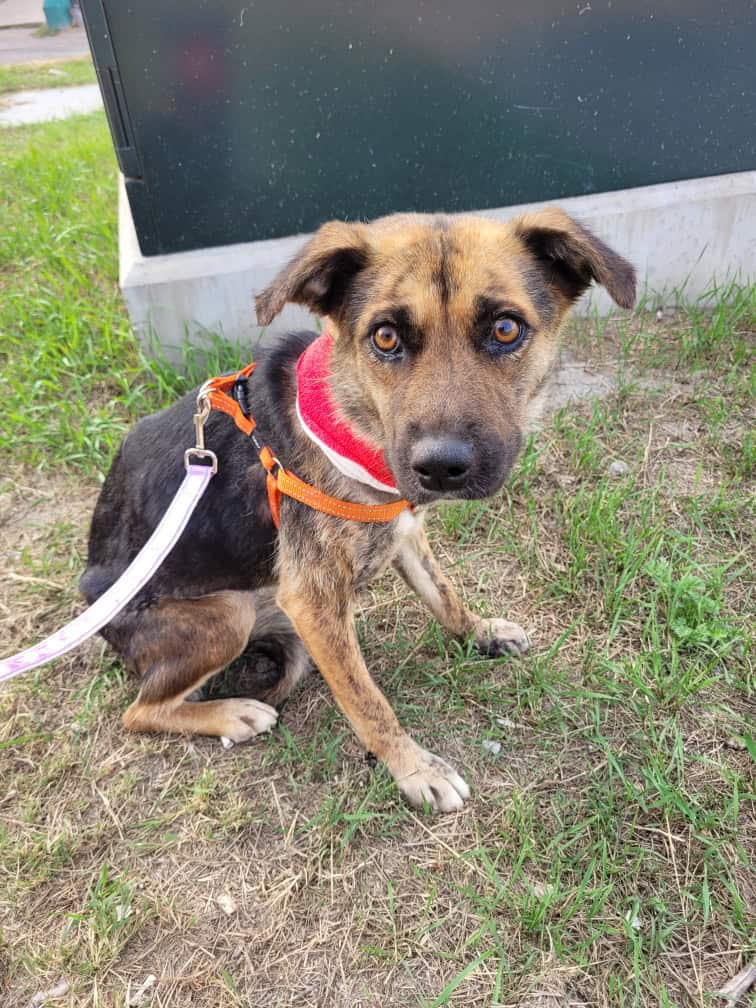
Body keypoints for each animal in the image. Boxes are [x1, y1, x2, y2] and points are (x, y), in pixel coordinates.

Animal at [80, 208, 635, 813]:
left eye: (506, 329)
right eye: (385, 337)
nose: (441, 467)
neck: (354, 423)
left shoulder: (406, 534)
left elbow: (443, 594)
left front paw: (478, 631)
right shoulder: (314, 604)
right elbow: (368, 701)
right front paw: (415, 769)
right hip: (228, 615)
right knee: (139, 712)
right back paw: (232, 713)